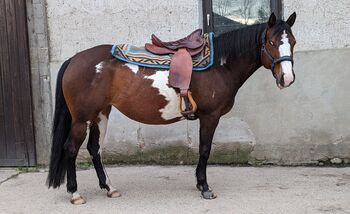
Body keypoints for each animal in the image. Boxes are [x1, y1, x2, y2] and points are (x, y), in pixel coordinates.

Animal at [46, 12, 296, 204]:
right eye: (271, 42)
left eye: (292, 42)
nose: (287, 78)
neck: (220, 64)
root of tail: (74, 59)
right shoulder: (210, 116)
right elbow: (205, 150)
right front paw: (205, 187)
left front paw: (200, 184)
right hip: (82, 118)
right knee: (71, 149)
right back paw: (75, 193)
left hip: (101, 114)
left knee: (94, 148)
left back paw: (109, 188)